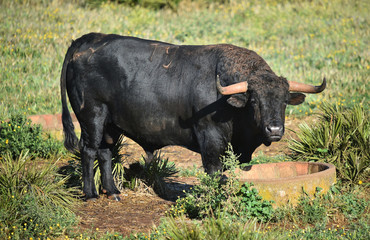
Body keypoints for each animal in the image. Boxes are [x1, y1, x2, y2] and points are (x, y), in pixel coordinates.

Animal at [60, 32, 324, 200]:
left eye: (284, 101)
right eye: (254, 101)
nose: (275, 130)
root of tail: (89, 39)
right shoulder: (211, 142)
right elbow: (215, 173)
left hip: (110, 125)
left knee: (105, 152)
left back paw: (113, 192)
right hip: (92, 117)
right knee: (89, 150)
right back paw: (91, 195)